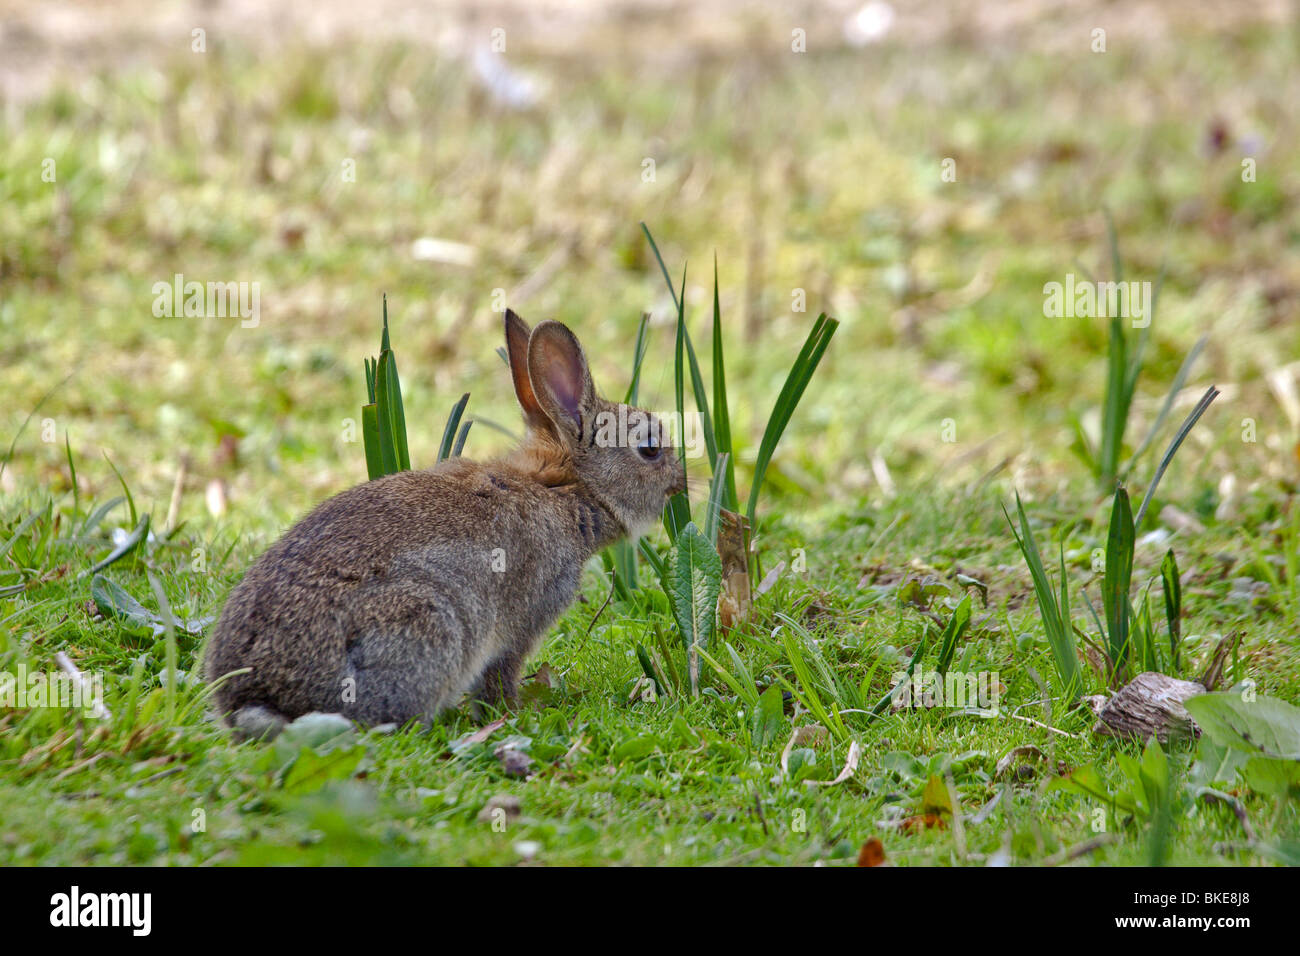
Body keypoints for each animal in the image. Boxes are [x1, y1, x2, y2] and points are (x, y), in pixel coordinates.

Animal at [202, 310, 686, 738]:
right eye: (649, 448)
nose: (680, 483)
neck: (562, 487)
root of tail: (259, 697)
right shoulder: (522, 621)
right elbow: (500, 674)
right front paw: (514, 713)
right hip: (426, 623)